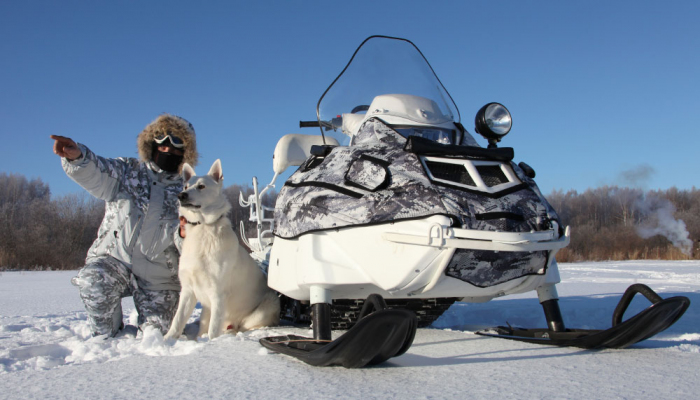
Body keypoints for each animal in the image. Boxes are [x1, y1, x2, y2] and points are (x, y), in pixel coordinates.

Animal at [165, 159, 280, 340]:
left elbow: (213, 329)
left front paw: (212, 343)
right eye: (185, 186)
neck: (202, 227)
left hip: (268, 305)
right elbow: (177, 320)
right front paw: (166, 341)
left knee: (245, 326)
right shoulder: (188, 290)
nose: (181, 196)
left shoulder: (218, 292)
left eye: (201, 186)